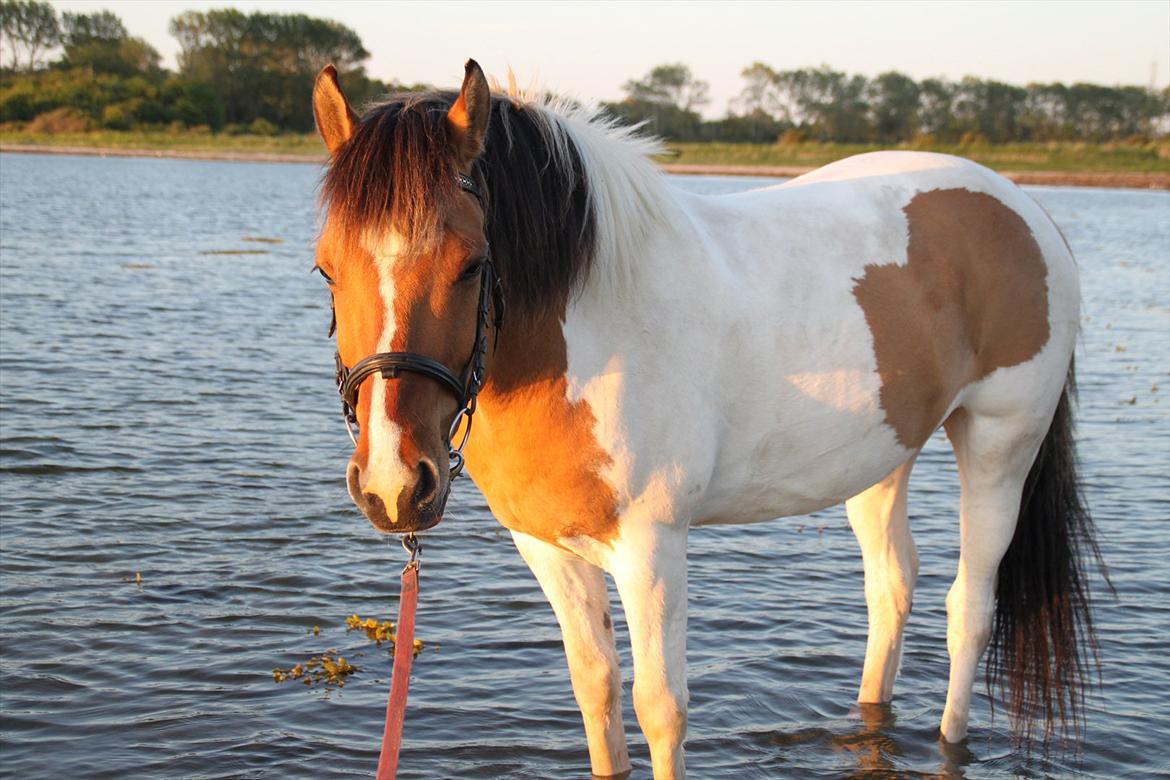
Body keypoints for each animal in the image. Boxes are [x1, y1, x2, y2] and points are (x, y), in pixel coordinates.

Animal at [308, 62, 1095, 780]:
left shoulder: (652, 545)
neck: (593, 320)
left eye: (472, 264)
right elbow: (596, 692)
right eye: (326, 269)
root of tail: (1025, 208)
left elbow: (660, 707)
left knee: (970, 610)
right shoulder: (547, 547)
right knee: (892, 586)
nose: (394, 485)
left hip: (1000, 446)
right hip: (883, 454)